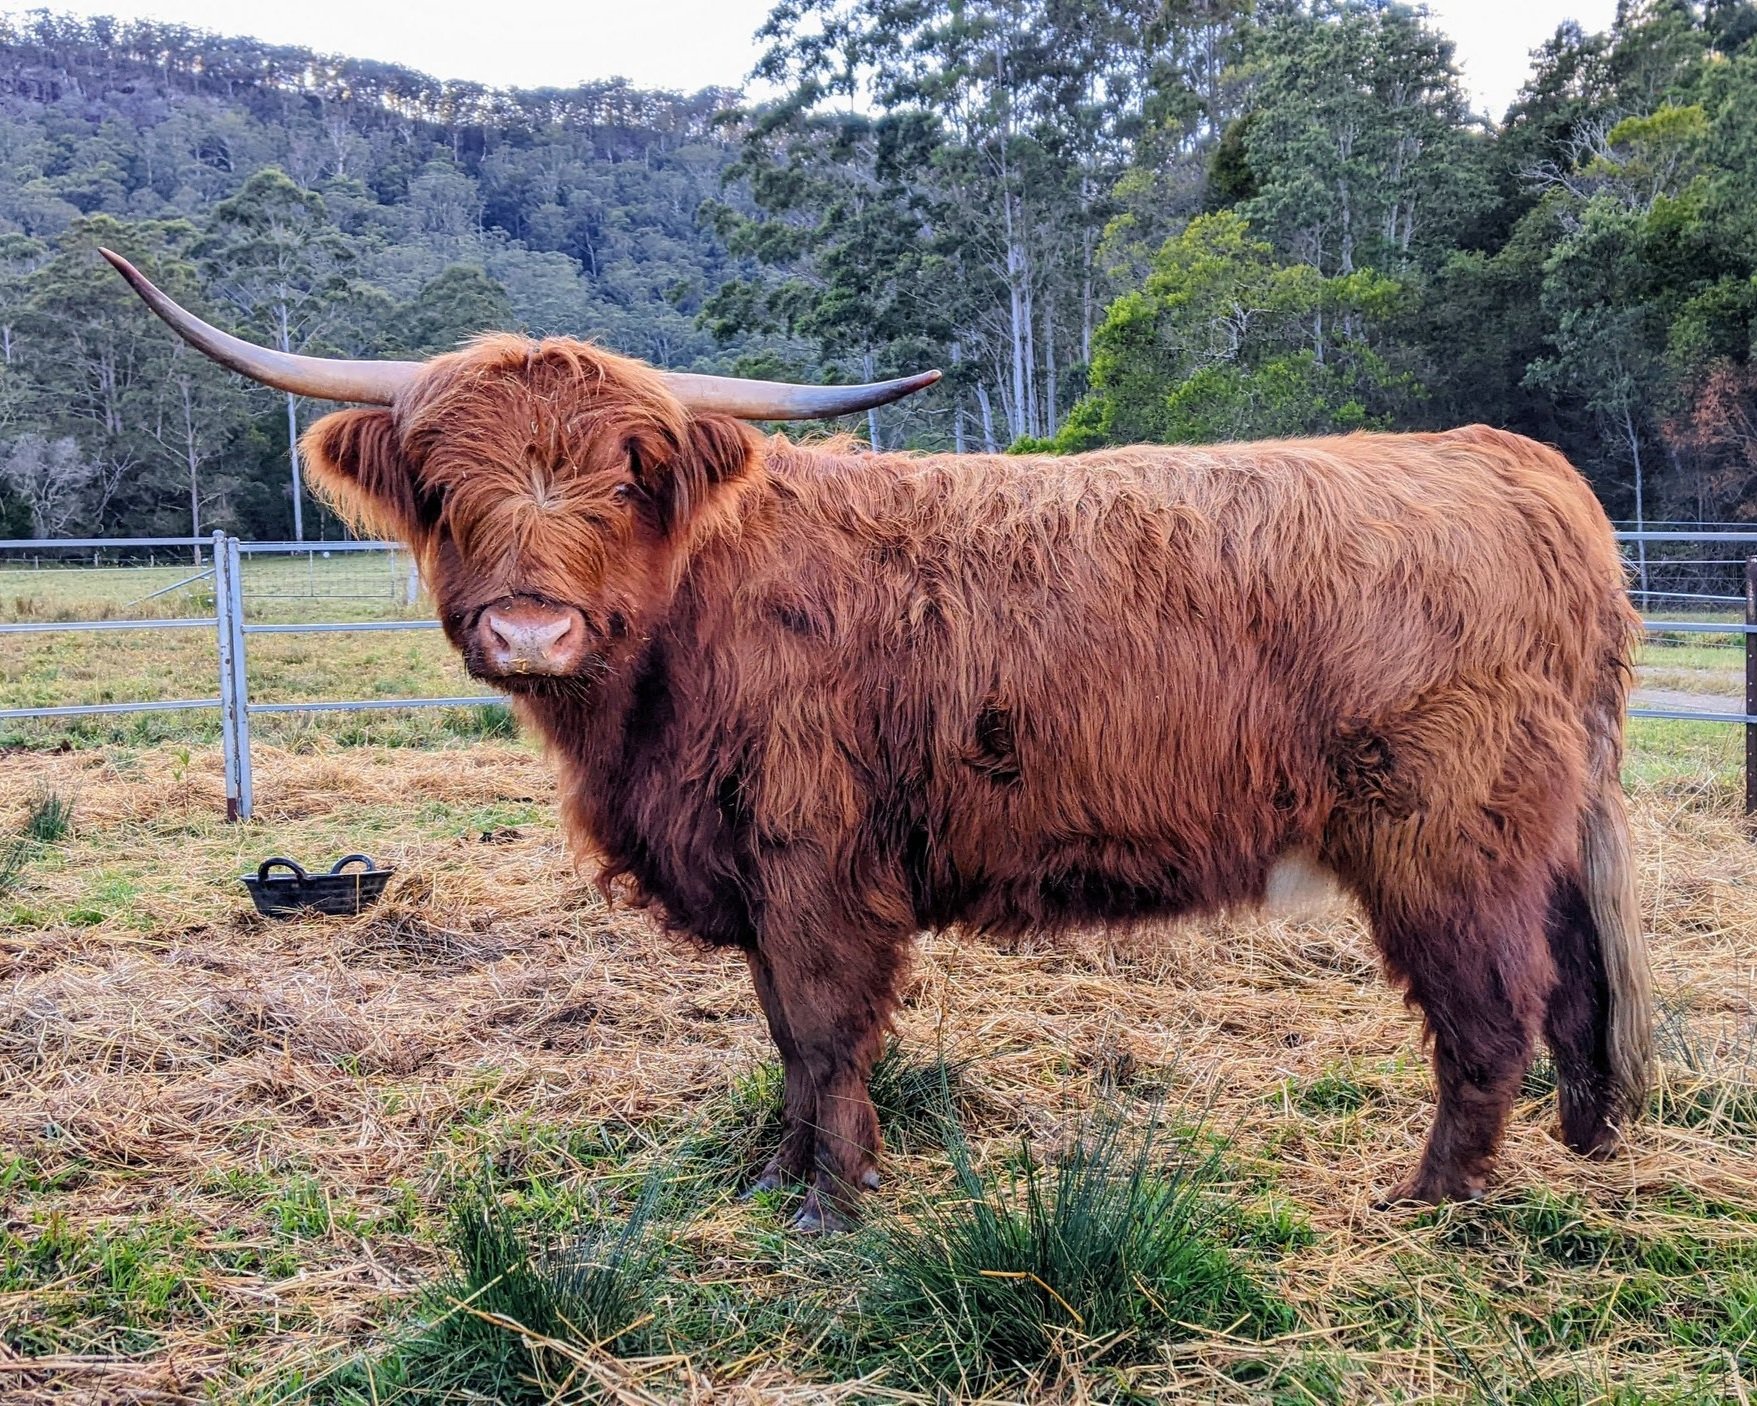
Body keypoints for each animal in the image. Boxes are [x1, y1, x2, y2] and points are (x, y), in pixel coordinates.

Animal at [106, 249, 1644, 1230]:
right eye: (441, 482)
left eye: (629, 474)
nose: (530, 630)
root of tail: (1506, 462)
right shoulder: (753, 871)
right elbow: (784, 1036)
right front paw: (778, 1175)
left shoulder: (817, 864)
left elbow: (828, 1026)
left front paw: (834, 1200)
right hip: (1540, 829)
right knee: (1578, 975)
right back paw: (1592, 1140)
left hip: (1441, 834)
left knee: (1489, 1006)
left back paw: (1433, 1198)